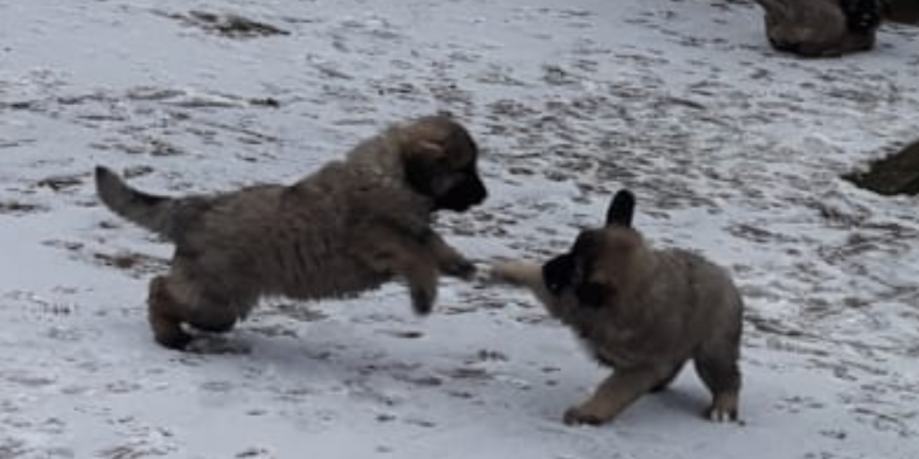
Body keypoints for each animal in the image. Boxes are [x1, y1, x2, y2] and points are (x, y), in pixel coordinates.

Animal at [96, 115, 487, 350]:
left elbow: (431, 242)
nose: (485, 195)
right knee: (159, 289)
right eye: (465, 170)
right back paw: (169, 334)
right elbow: (415, 255)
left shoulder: (414, 228)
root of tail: (200, 208)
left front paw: (458, 264)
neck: (394, 176)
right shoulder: (377, 239)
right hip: (213, 296)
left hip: (224, 304)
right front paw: (425, 295)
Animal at [491, 190, 743, 425]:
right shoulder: (570, 303)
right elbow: (531, 274)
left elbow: (612, 392)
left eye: (575, 271)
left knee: (728, 379)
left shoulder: (640, 367)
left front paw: (587, 412)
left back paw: (722, 407)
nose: (547, 268)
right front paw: (505, 270)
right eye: (572, 249)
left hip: (712, 352)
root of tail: (728, 280)